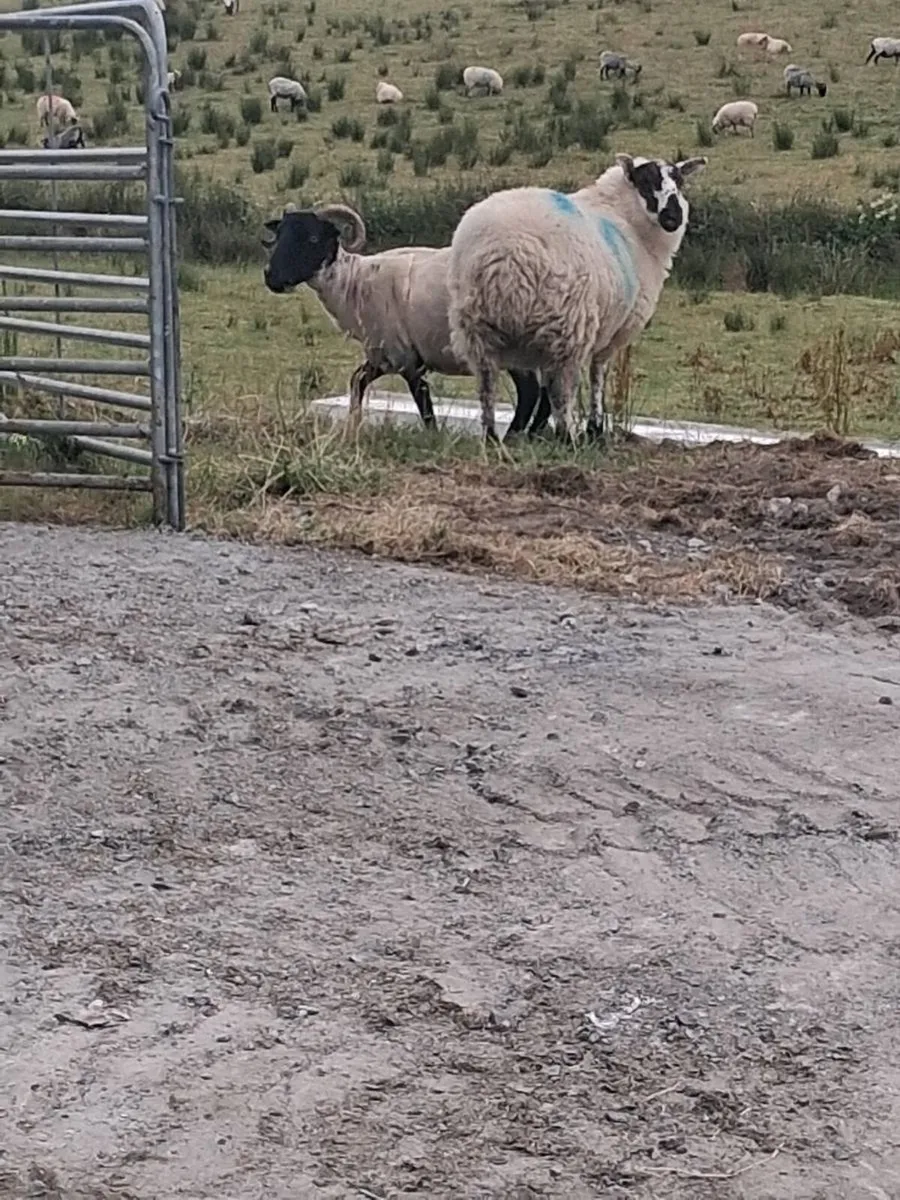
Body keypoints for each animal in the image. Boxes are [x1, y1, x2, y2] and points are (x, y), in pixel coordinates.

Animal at [261, 203, 548, 440]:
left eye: (312, 238)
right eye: (278, 236)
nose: (271, 277)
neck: (353, 281)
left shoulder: (405, 356)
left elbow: (423, 403)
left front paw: (433, 438)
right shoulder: (383, 354)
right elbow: (357, 380)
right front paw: (353, 426)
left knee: (530, 391)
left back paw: (508, 439)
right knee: (545, 394)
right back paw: (534, 436)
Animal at [445, 152, 707, 443]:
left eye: (679, 182)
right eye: (646, 180)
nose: (673, 217)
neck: (625, 218)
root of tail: (505, 257)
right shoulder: (612, 332)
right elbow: (597, 375)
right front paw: (595, 427)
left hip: (477, 328)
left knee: (487, 385)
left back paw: (492, 437)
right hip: (565, 324)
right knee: (561, 389)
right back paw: (566, 437)